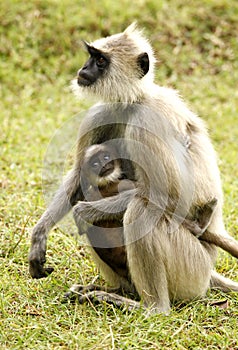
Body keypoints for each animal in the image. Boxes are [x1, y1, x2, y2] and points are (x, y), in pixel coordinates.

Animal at [28, 23, 237, 314]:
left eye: (100, 60)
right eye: (91, 56)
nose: (84, 69)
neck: (134, 101)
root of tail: (208, 274)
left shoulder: (147, 122)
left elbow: (167, 196)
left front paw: (85, 211)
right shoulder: (100, 114)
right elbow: (79, 175)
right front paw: (40, 233)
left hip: (193, 267)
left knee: (142, 209)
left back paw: (151, 308)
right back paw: (116, 291)